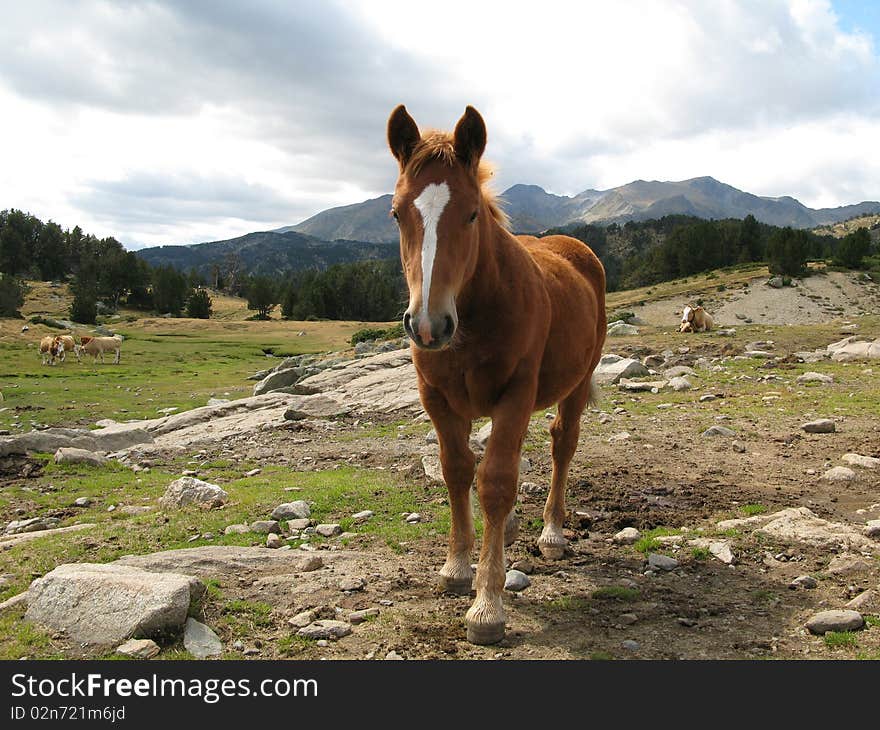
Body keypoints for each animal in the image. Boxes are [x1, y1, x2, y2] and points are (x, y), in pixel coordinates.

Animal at [388, 104, 608, 644]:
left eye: (472, 213)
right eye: (397, 213)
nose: (428, 325)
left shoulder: (515, 393)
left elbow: (496, 482)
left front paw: (487, 605)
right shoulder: (438, 398)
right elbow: (457, 470)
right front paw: (456, 567)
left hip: (574, 385)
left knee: (561, 445)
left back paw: (551, 532)